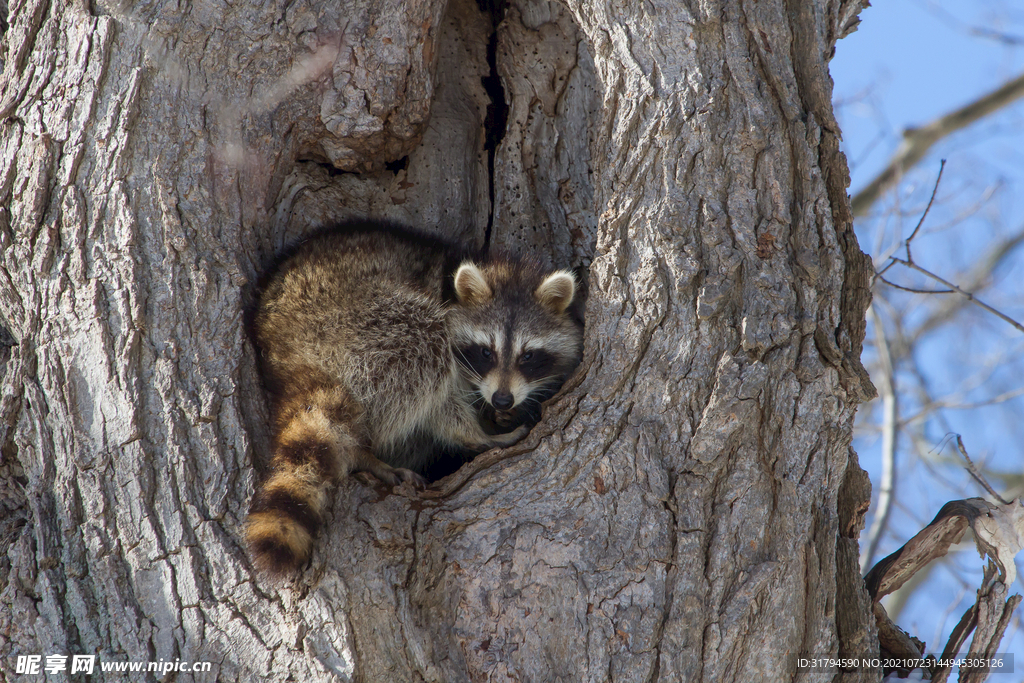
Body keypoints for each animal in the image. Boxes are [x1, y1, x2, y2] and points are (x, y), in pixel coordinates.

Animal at [243, 222, 589, 573]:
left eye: (528, 356)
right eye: (485, 352)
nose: (502, 400)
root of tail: (281, 341)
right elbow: (441, 405)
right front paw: (478, 434)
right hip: (354, 321)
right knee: (422, 341)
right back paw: (367, 451)